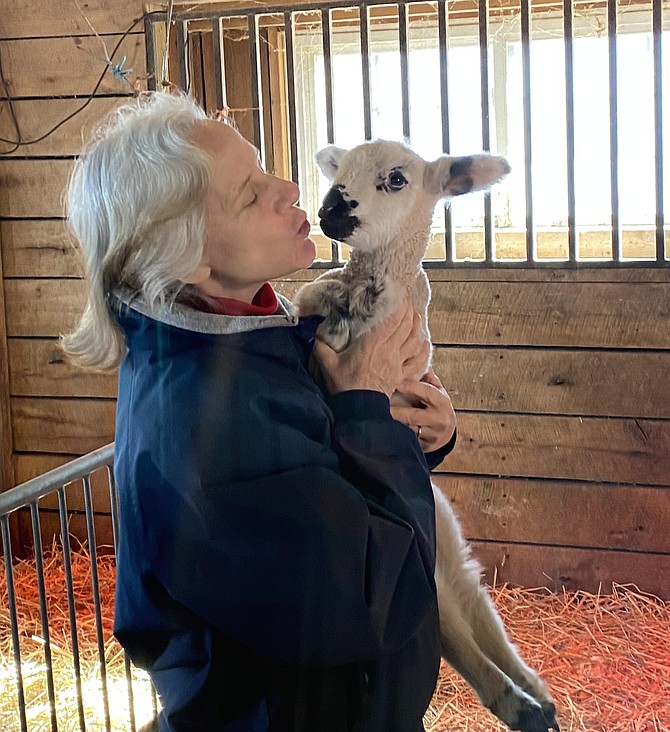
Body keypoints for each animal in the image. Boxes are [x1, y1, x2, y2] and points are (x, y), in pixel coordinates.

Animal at [296, 142, 560, 732]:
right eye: (342, 169)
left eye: (396, 179)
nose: (330, 210)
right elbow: (309, 296)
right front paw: (332, 300)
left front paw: (351, 307)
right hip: (435, 550)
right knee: (464, 612)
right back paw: (533, 701)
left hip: (437, 550)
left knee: (466, 616)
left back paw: (527, 700)